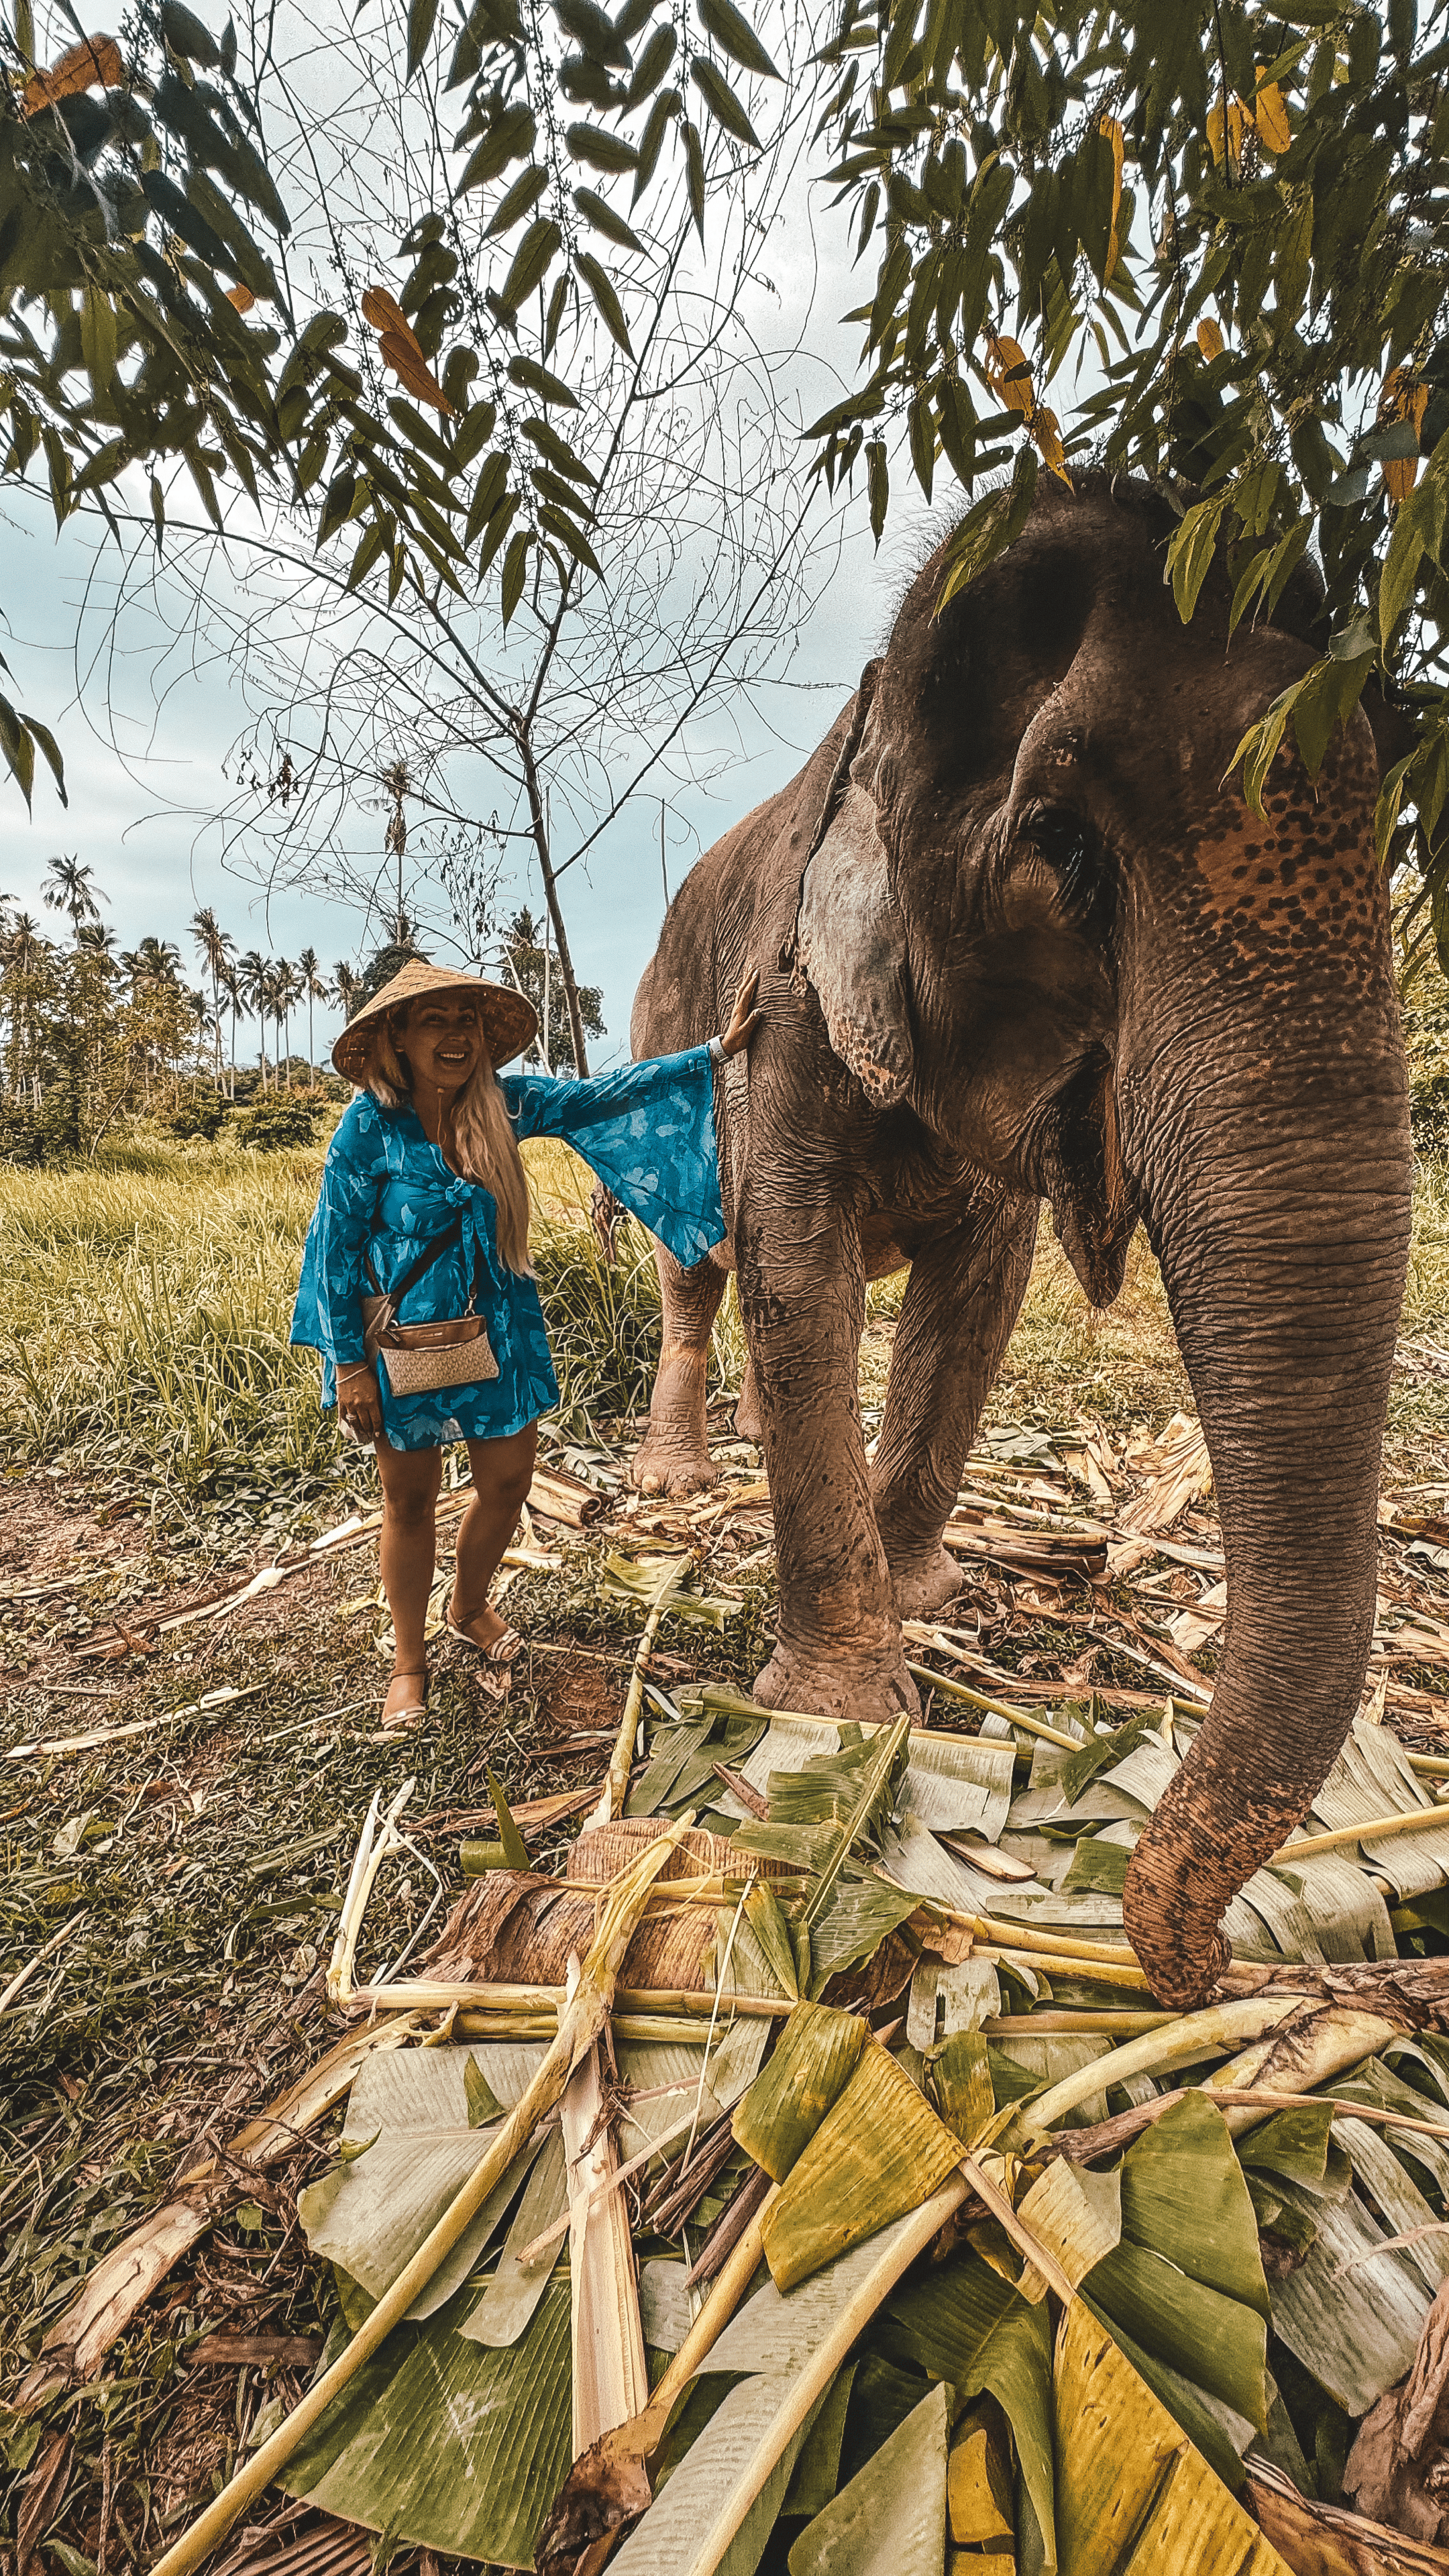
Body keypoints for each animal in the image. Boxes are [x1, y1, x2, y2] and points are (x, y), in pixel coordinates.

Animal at [627, 468, 1412, 2010]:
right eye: (1062, 849)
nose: (1214, 1969)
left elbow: (979, 1288)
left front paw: (922, 1583)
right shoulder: (782, 1012)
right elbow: (795, 1262)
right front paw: (840, 1714)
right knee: (699, 1269)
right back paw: (680, 1477)